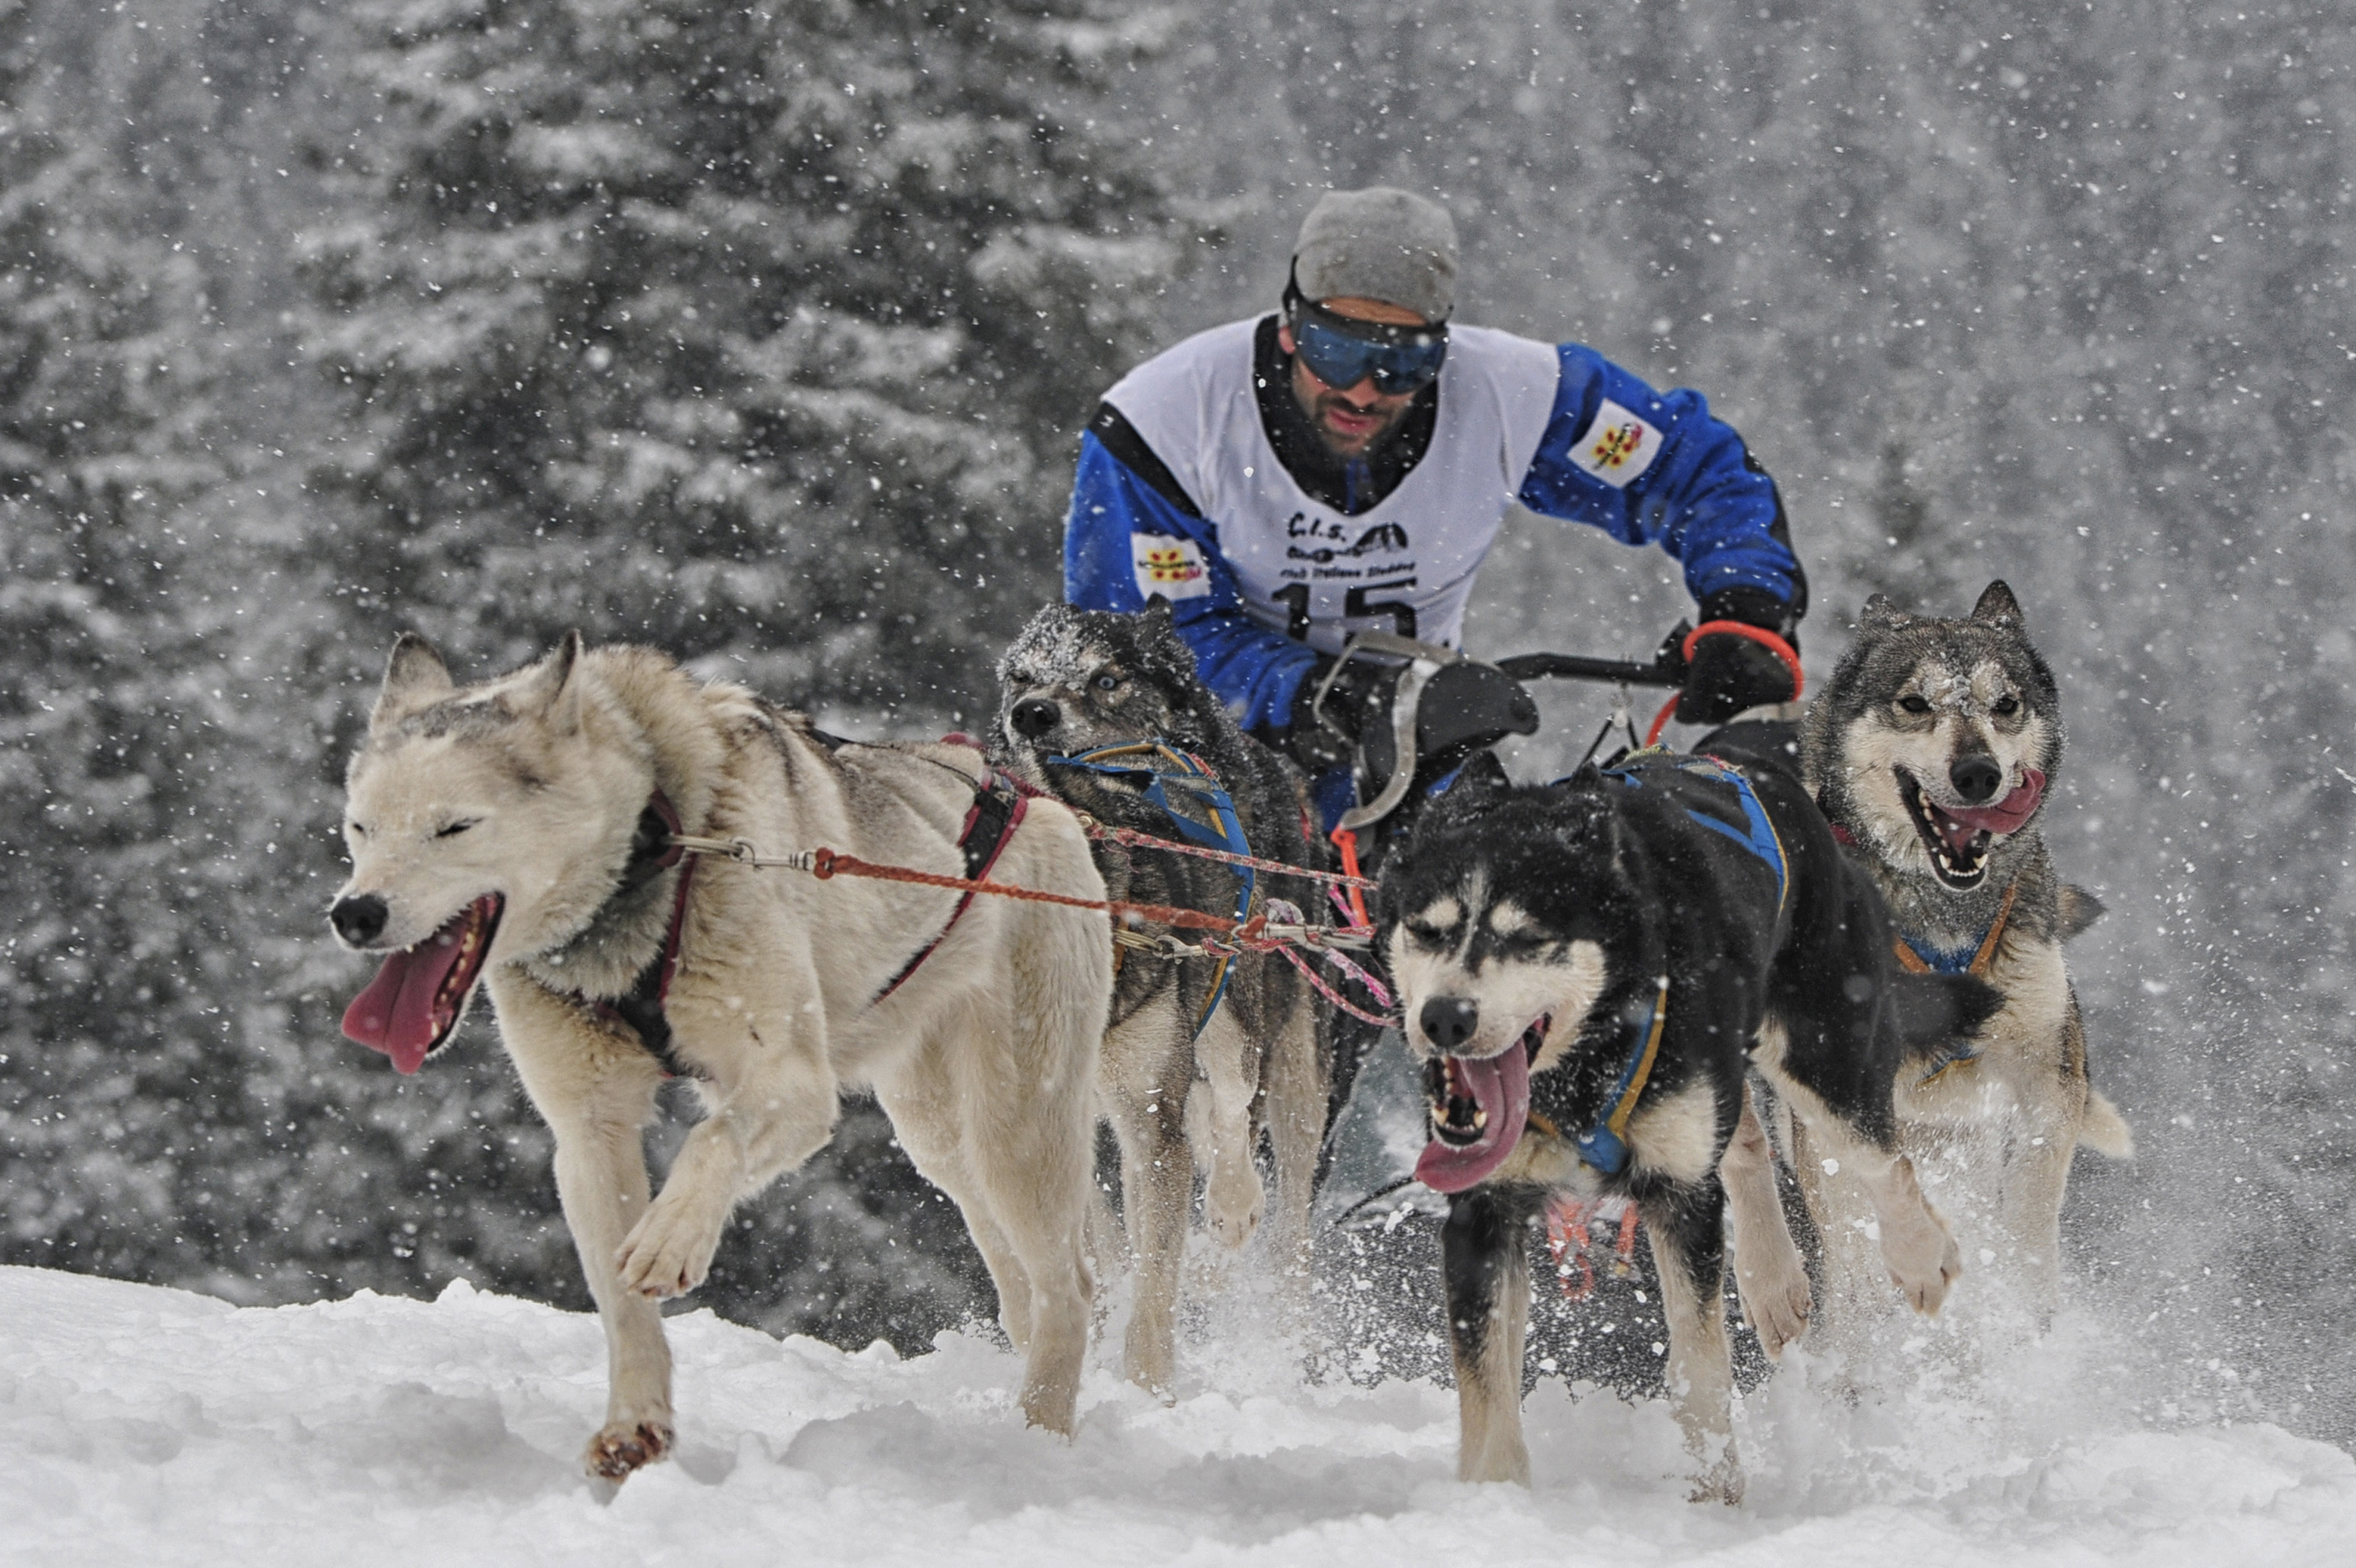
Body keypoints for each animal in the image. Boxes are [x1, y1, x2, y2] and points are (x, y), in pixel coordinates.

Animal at [325, 631, 1121, 1469]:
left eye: (455, 826)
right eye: (360, 828)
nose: (355, 912)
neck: (653, 843)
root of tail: (1035, 796)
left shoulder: (795, 1083)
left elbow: (712, 1140)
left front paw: (670, 1236)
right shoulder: (589, 1128)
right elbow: (619, 1301)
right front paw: (635, 1421)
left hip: (1015, 1126)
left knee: (1069, 1281)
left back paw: (1039, 1433)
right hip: (938, 1133)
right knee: (1017, 1270)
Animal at [994, 600, 1328, 1393]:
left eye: (1107, 678)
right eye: (1019, 675)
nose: (1032, 714)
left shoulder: (1157, 1106)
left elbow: (1157, 1270)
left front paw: (1148, 1386)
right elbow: (1107, 1239)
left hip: (1267, 1040)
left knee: (1264, 1168)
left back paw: (1243, 1231)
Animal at [1385, 730, 1998, 1488]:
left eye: (1528, 937)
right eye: (1426, 930)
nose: (1444, 1018)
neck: (1591, 1056)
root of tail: (1748, 761)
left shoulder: (1680, 1200)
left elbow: (1700, 1373)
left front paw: (1716, 1495)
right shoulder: (1484, 1212)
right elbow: (1487, 1395)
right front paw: (1496, 1500)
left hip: (1825, 1060)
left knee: (1882, 1161)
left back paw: (1918, 1257)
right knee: (1747, 1144)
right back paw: (1773, 1280)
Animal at [1800, 579, 2139, 1327]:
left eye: (2005, 704)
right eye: (1915, 702)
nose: (1979, 772)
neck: (1944, 925)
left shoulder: (2046, 1071)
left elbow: (2029, 1214)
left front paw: (2025, 1316)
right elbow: (1857, 1233)